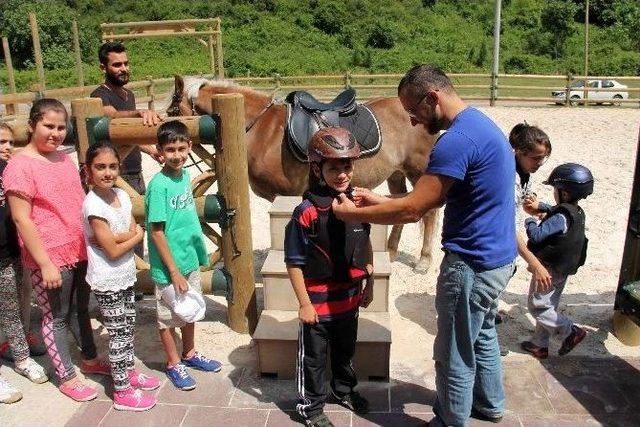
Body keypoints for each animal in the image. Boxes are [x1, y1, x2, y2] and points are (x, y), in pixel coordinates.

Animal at [166, 76, 440, 270]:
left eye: (171, 112)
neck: (261, 128)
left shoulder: (289, 193)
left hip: (418, 171)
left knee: (429, 212)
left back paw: (424, 260)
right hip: (396, 173)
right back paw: (391, 251)